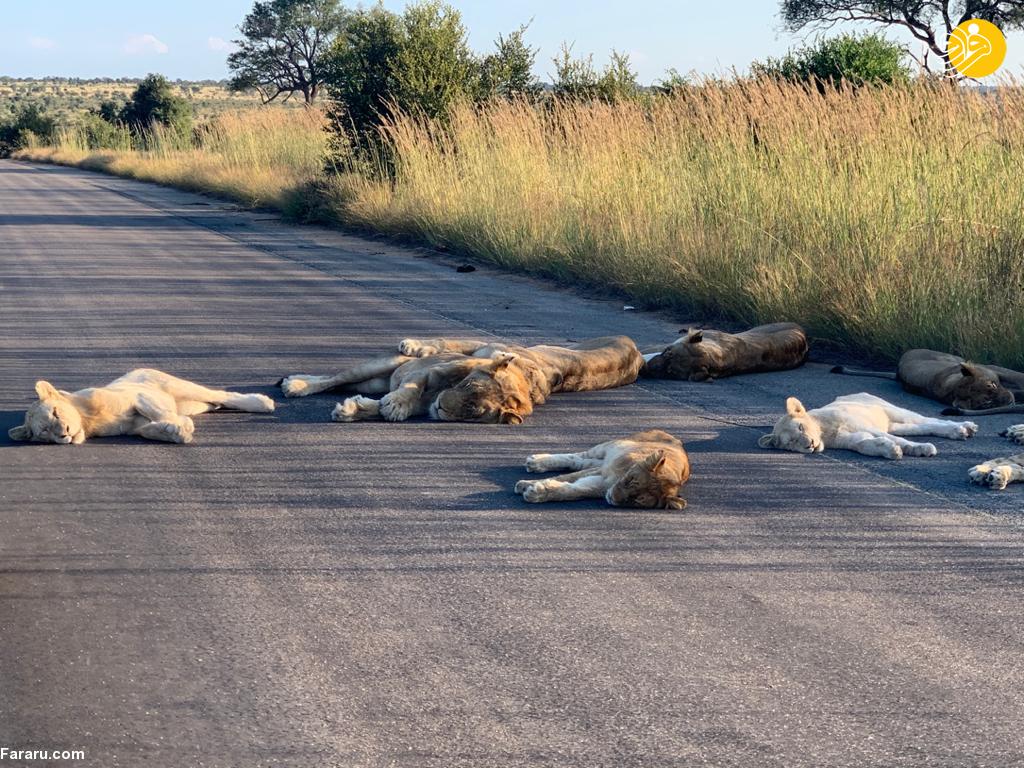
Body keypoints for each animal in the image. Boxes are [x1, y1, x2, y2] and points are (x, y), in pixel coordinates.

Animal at [6, 370, 276, 448]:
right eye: (45, 432)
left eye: (55, 413)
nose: (64, 433)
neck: (88, 420)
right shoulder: (133, 427)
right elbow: (148, 430)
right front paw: (175, 431)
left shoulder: (137, 395)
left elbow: (158, 411)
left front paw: (180, 426)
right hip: (193, 404)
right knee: (214, 402)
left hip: (179, 387)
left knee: (223, 395)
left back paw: (263, 402)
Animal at [280, 335, 643, 428]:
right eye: (468, 388)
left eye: (474, 413)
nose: (442, 408)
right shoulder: (432, 371)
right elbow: (411, 389)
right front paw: (396, 406)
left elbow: (382, 405)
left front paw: (355, 410)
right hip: (386, 365)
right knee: (334, 378)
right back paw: (295, 385)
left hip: (376, 380)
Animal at [512, 434, 688, 512]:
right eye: (630, 481)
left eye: (636, 500)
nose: (613, 498)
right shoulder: (605, 472)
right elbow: (567, 477)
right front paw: (525, 485)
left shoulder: (602, 484)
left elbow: (573, 491)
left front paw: (536, 491)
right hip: (608, 447)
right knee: (575, 457)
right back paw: (536, 462)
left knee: (578, 461)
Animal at [757, 393, 978, 460]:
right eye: (791, 442)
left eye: (801, 428)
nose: (810, 444)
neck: (825, 432)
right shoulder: (852, 440)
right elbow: (866, 445)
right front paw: (891, 451)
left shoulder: (860, 425)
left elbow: (899, 440)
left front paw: (922, 449)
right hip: (895, 424)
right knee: (922, 428)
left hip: (892, 410)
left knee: (930, 420)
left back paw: (963, 428)